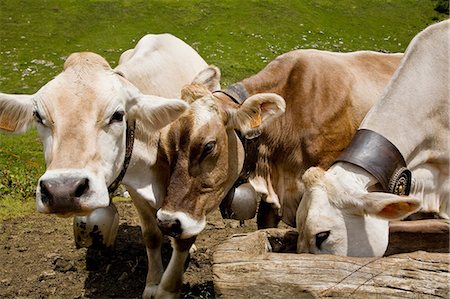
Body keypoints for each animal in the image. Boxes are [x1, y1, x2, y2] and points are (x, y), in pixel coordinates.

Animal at [0, 33, 215, 299]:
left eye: (118, 115)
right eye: (38, 116)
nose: (63, 191)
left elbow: (185, 237)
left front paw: (168, 288)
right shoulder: (135, 188)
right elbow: (151, 235)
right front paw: (152, 284)